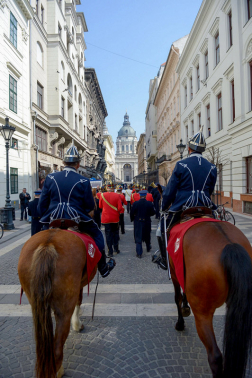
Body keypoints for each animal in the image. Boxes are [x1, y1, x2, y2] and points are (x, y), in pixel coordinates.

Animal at [17, 227, 97, 378]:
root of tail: (48, 245)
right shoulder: (79, 286)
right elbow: (79, 301)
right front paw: (77, 325)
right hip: (64, 309)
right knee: (58, 347)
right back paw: (58, 371)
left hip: (35, 304)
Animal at [171, 221, 252, 378]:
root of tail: (230, 244)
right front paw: (185, 308)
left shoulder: (174, 273)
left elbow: (177, 298)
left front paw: (180, 323)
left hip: (203, 314)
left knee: (215, 356)